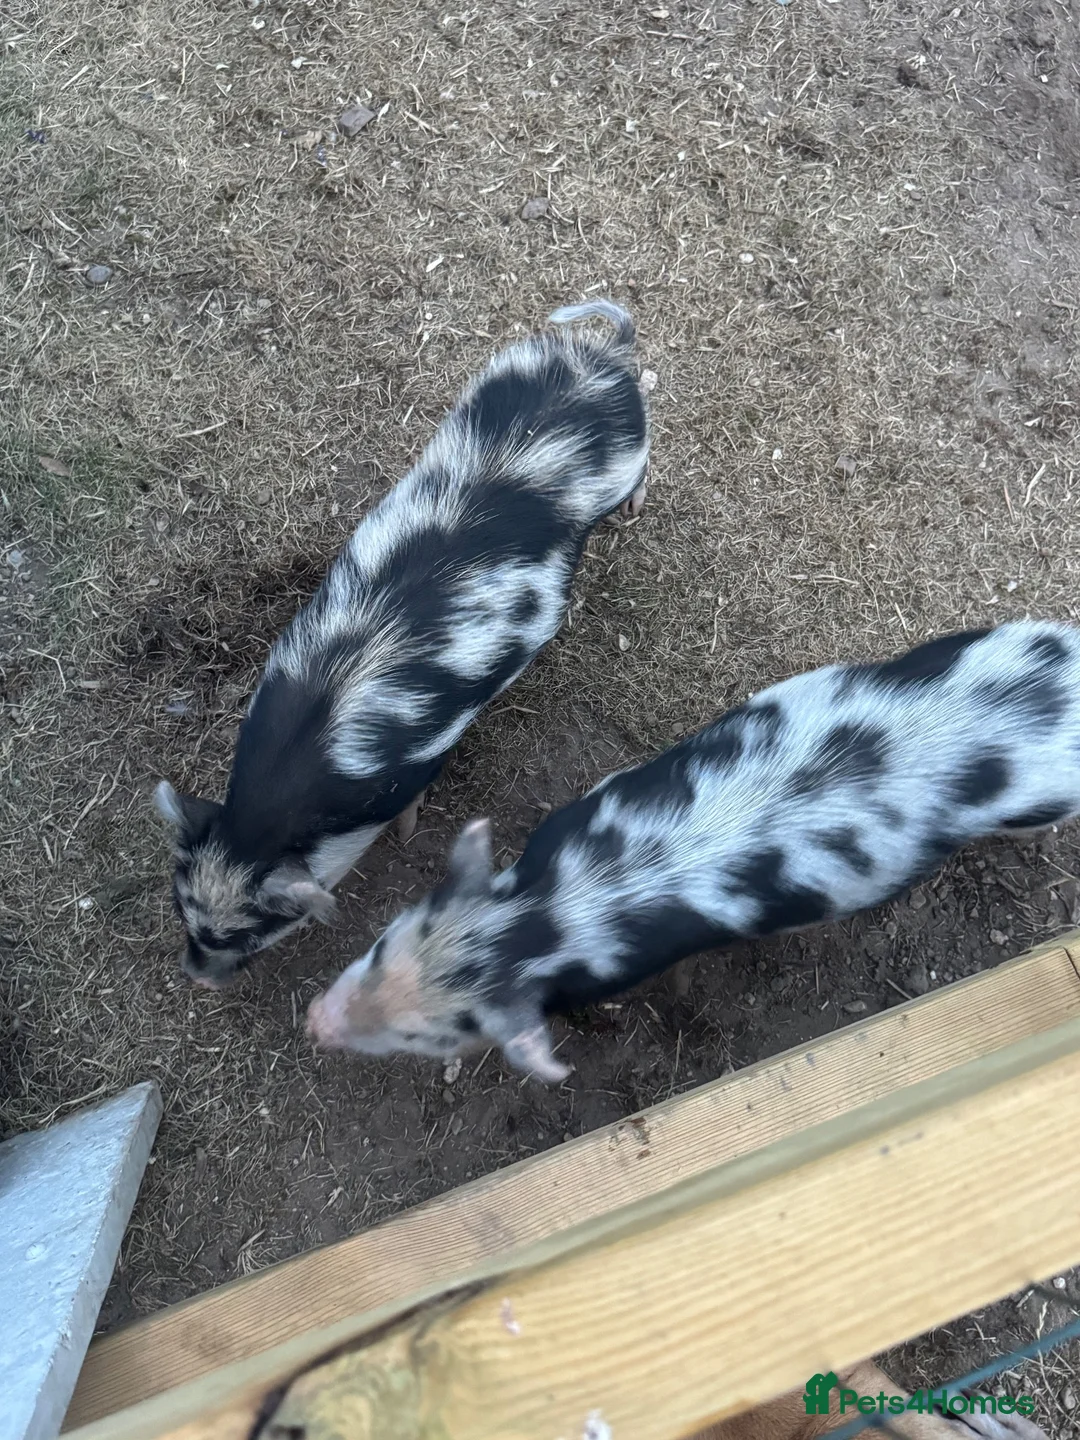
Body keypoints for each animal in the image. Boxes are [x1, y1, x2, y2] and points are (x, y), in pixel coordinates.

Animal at [155, 299, 649, 987]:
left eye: (251, 932)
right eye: (183, 910)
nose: (196, 975)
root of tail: (604, 357)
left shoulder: (420, 760)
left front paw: (410, 835)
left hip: (630, 456)